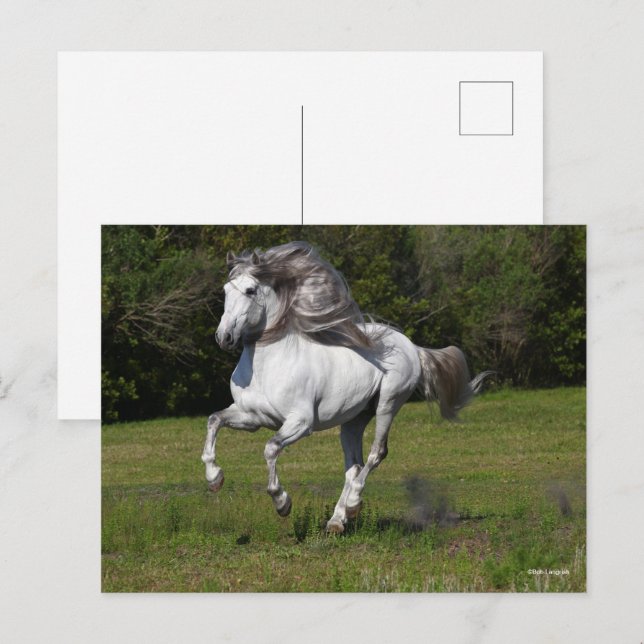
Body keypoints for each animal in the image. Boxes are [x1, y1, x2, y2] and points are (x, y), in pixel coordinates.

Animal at [202, 241, 488, 533]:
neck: (267, 367)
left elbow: (270, 448)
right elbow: (214, 420)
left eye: (250, 290)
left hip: (388, 404)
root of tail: (410, 345)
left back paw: (352, 504)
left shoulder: (300, 423)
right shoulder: (251, 417)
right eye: (225, 290)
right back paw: (337, 521)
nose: (224, 337)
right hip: (354, 420)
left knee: (376, 454)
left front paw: (282, 503)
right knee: (354, 466)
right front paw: (215, 479)